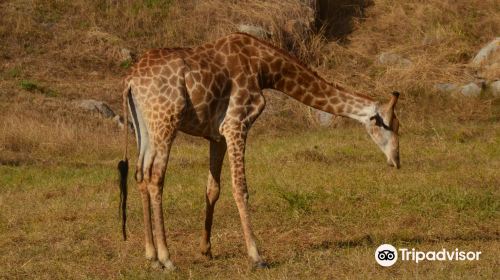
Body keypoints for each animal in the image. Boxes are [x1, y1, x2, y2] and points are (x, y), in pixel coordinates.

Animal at [118, 32, 402, 270]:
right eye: (390, 126)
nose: (396, 161)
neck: (265, 68)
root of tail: (130, 81)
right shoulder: (236, 123)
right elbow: (240, 188)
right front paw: (256, 256)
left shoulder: (217, 135)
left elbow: (213, 189)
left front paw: (206, 249)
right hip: (166, 121)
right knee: (156, 177)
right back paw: (167, 258)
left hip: (144, 128)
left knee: (140, 175)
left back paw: (151, 256)